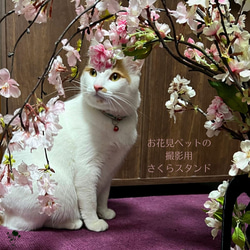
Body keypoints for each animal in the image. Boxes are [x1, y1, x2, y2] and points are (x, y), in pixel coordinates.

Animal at [0, 56, 144, 232]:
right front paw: (94, 222)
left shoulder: (110, 168)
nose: (97, 86)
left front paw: (103, 212)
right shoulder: (87, 169)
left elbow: (103, 195)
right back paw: (73, 222)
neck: (112, 121)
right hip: (60, 189)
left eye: (115, 76)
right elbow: (90, 201)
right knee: (34, 223)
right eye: (93, 72)